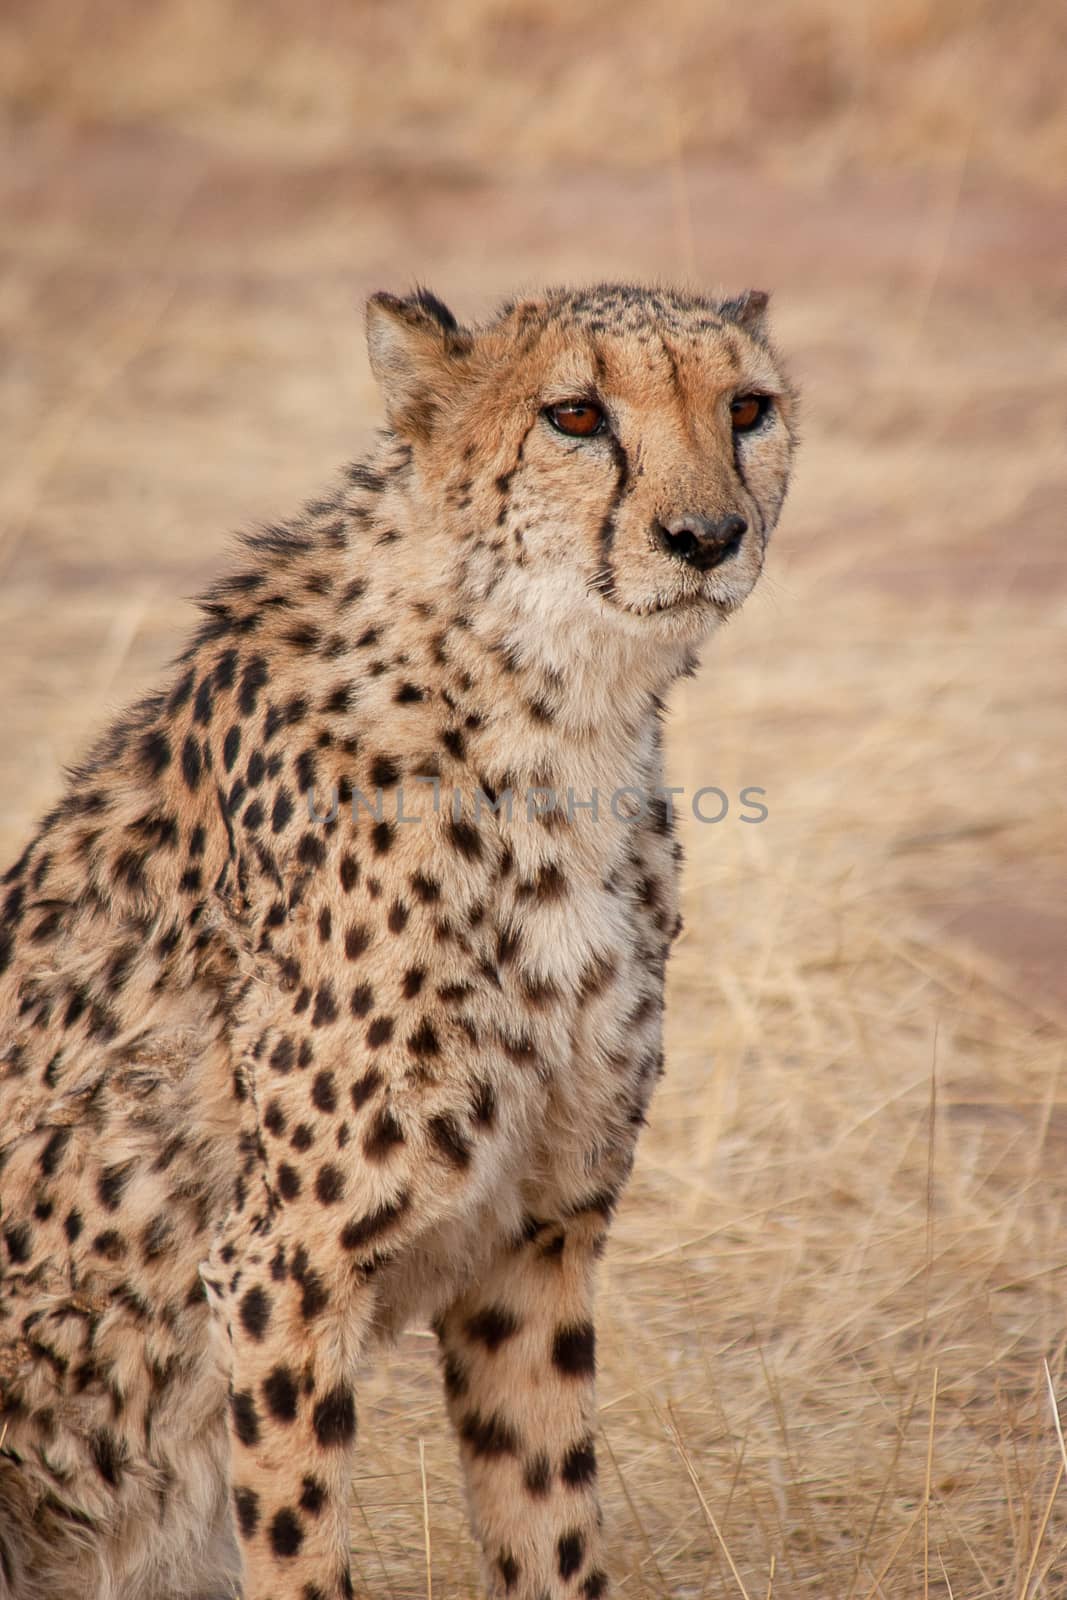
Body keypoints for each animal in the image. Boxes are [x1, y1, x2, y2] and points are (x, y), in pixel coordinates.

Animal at [0, 281, 793, 1593]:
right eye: (575, 415)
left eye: (747, 408)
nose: (706, 536)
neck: (549, 716)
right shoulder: (281, 1264)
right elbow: (298, 1544)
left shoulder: (536, 1234)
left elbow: (549, 1523)